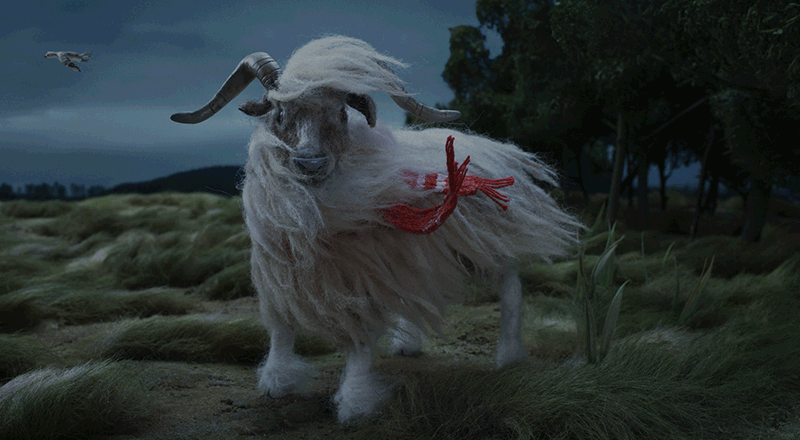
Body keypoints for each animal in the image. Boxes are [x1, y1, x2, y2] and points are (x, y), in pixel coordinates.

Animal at [171, 36, 582, 423]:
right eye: (280, 110)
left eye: (340, 113)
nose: (310, 162)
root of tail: (492, 146)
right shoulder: (281, 270)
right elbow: (280, 326)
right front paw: (275, 381)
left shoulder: (359, 275)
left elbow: (360, 340)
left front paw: (354, 402)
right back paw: (408, 343)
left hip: (488, 239)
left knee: (511, 286)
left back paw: (509, 356)